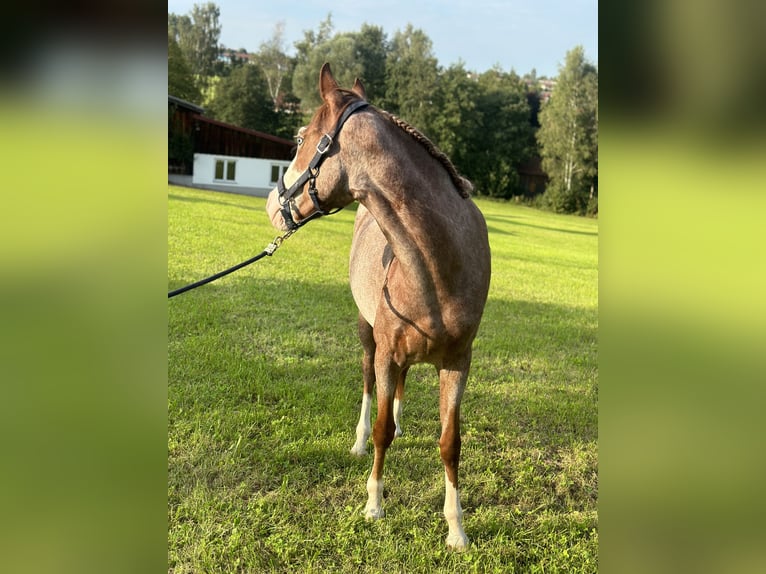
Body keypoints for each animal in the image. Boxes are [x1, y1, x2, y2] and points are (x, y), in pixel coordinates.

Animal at [264, 64, 492, 552]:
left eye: (300, 138)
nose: (273, 204)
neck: (437, 268)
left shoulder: (458, 362)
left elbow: (450, 442)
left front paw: (456, 529)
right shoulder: (387, 350)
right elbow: (382, 429)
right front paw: (374, 505)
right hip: (368, 336)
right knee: (371, 387)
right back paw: (358, 440)